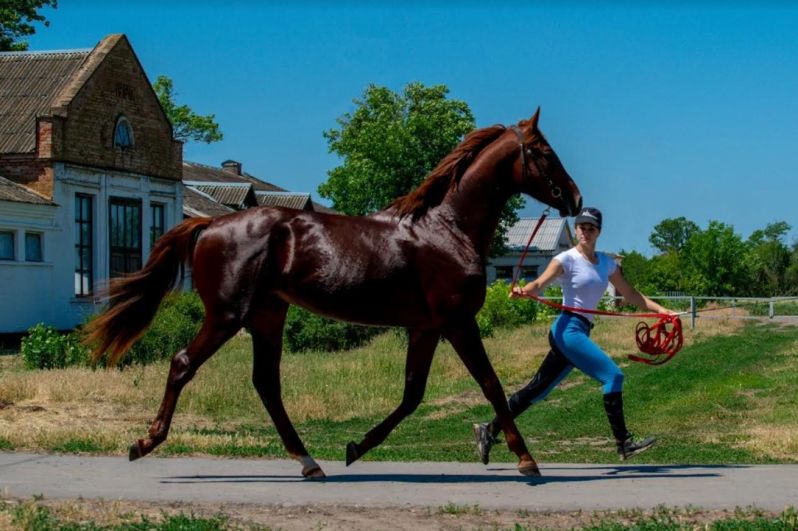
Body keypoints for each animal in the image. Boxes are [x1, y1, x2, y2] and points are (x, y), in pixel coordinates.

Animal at [87, 110, 580, 480]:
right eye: (544, 152)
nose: (574, 198)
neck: (446, 228)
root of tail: (210, 224)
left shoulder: (424, 329)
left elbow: (412, 395)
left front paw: (355, 447)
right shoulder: (457, 323)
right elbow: (490, 384)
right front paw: (526, 459)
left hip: (268, 315)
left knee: (266, 383)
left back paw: (310, 463)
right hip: (228, 315)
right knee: (184, 364)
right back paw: (144, 442)